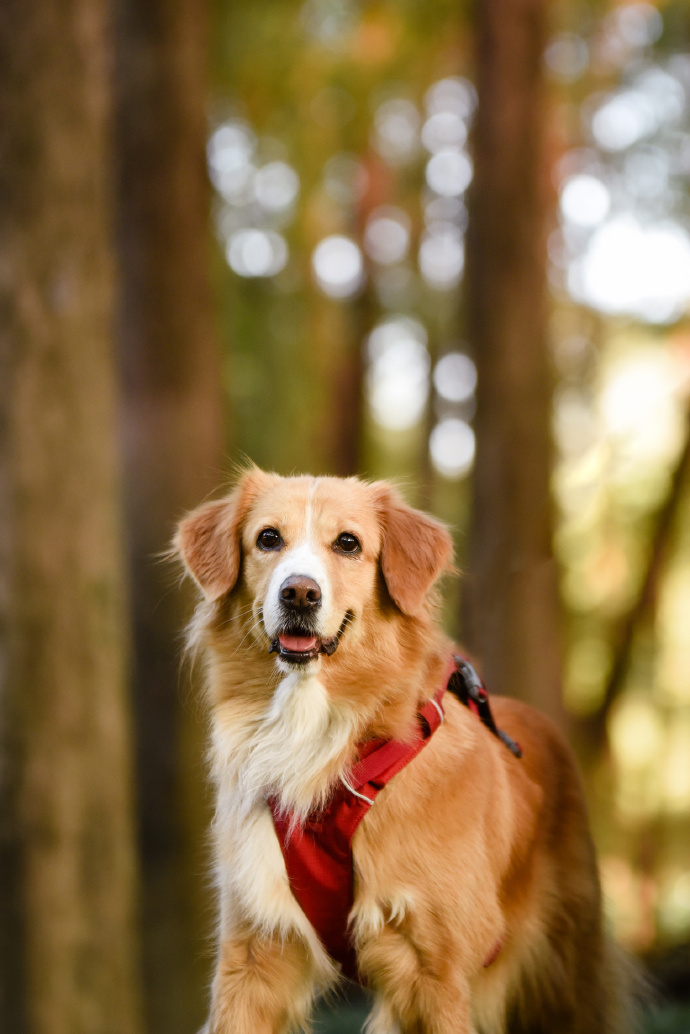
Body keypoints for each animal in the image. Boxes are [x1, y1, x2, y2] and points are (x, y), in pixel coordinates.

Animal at [175, 471, 641, 1034]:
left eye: (348, 543)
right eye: (268, 538)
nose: (299, 593)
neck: (319, 740)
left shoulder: (433, 972)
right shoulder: (252, 955)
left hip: (565, 981)